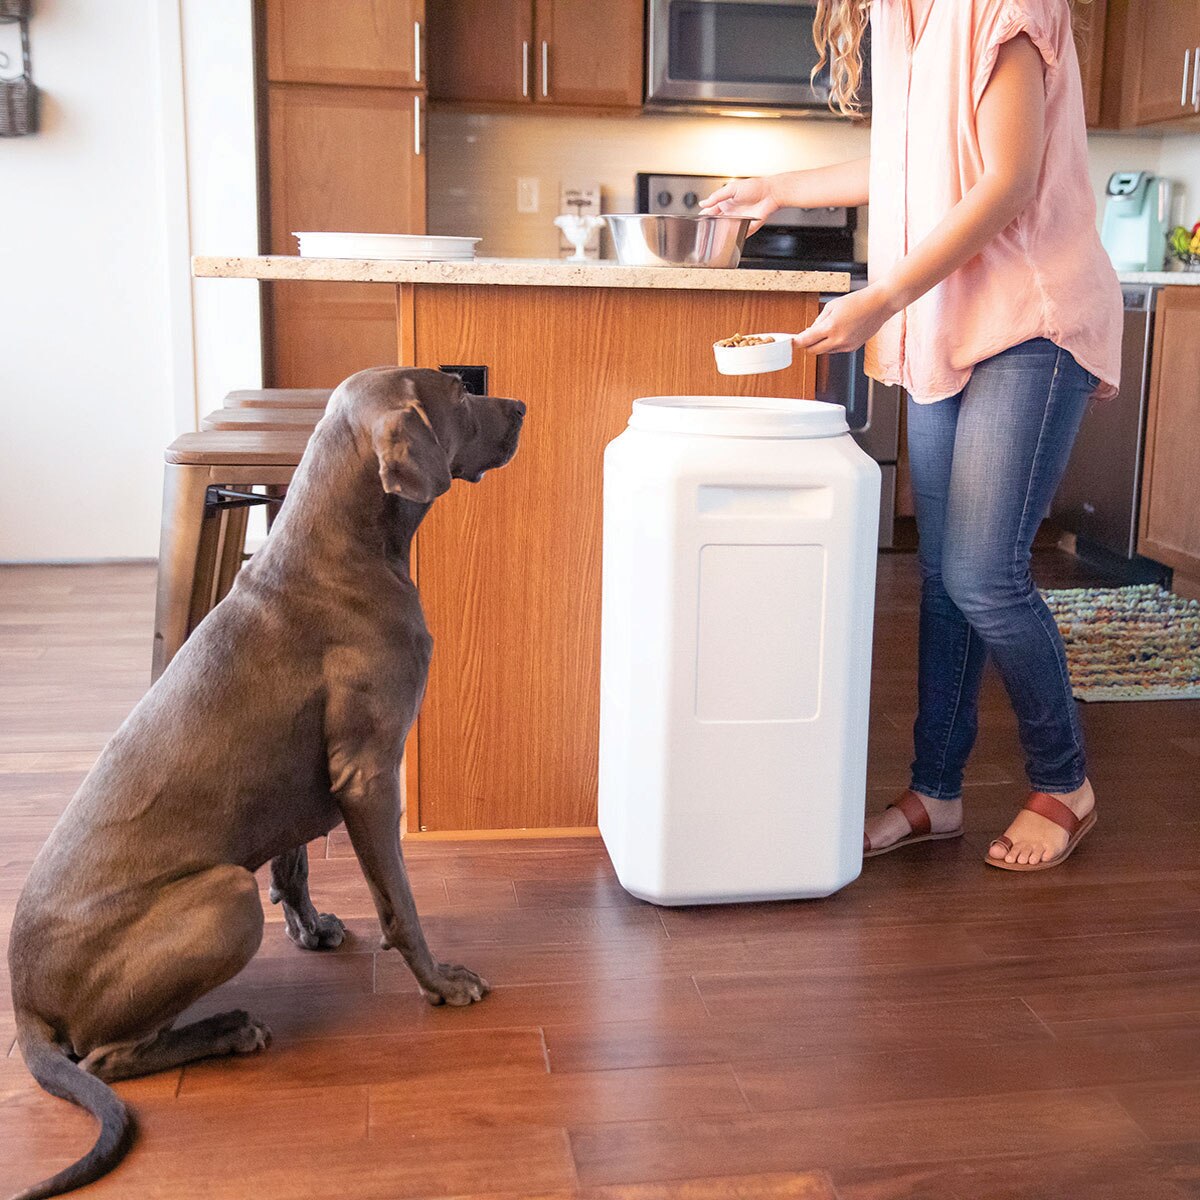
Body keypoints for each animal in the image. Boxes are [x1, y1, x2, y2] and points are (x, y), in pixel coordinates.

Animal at [8, 367, 525, 1200]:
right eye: (456, 390)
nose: (521, 406)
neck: (345, 553)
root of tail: (23, 1003)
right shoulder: (369, 775)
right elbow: (401, 905)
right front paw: (439, 983)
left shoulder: (312, 779)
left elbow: (295, 861)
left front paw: (310, 929)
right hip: (224, 897)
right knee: (108, 1056)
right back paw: (228, 1030)